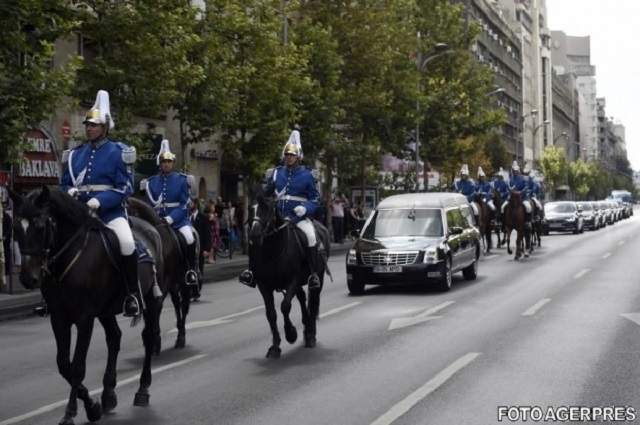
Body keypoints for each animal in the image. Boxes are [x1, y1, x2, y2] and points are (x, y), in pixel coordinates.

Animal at [9, 187, 164, 424]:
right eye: (16, 227)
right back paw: (108, 394)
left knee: (149, 336)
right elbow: (64, 364)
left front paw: (71, 413)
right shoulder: (59, 318)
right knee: (114, 337)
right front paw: (93, 406)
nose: (28, 278)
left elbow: (77, 367)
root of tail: (150, 228)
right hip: (107, 310)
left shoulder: (85, 318)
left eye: (41, 226)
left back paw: (142, 390)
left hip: (151, 301)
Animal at [127, 197, 200, 350]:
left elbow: (157, 307)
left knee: (183, 305)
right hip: (173, 285)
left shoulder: (162, 284)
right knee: (177, 304)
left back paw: (181, 337)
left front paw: (154, 338)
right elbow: (153, 309)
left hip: (183, 282)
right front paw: (153, 338)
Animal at [249, 187, 332, 356]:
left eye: (267, 209)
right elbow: (271, 313)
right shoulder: (263, 285)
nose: (254, 235)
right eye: (251, 208)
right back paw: (306, 328)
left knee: (313, 301)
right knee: (302, 298)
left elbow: (285, 306)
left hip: (318, 277)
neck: (272, 252)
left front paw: (291, 333)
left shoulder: (293, 280)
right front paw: (275, 346)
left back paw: (310, 335)